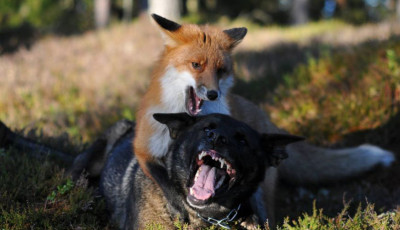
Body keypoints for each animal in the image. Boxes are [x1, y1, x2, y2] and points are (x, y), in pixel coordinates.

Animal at [134, 14, 394, 226]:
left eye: (221, 71)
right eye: (196, 65)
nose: (213, 94)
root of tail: (264, 117)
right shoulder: (144, 148)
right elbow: (167, 184)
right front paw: (179, 208)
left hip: (263, 192)